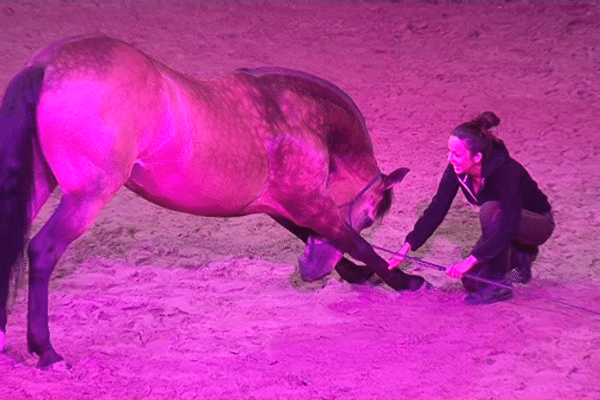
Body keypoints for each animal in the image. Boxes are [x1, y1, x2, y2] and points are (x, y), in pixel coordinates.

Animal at [0, 36, 424, 368]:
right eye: (368, 216)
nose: (311, 272)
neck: (297, 116)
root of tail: (48, 64)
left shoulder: (281, 203)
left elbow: (314, 236)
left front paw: (356, 274)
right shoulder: (308, 203)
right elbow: (356, 244)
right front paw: (404, 280)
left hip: (38, 185)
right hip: (87, 197)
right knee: (43, 251)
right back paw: (47, 352)